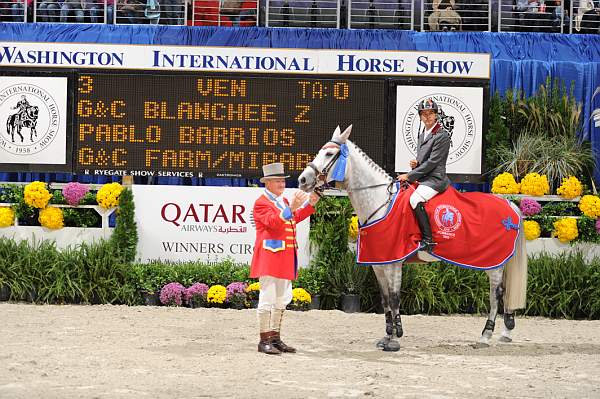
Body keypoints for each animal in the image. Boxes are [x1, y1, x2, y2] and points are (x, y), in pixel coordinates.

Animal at [298, 126, 528, 354]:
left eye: (329, 154)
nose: (302, 180)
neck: (381, 201)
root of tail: (509, 206)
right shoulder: (378, 263)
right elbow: (385, 299)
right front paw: (386, 336)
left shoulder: (393, 263)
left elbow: (394, 298)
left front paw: (394, 339)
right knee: (504, 293)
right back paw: (506, 332)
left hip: (494, 263)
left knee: (495, 294)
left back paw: (485, 336)